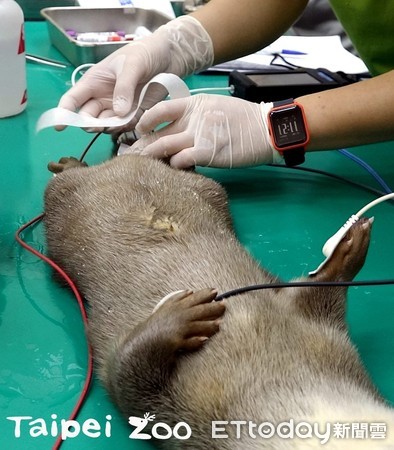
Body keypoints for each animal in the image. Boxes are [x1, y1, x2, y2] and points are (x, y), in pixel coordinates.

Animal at [43, 154, 394, 446]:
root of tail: (122, 161)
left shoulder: (332, 342)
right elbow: (123, 370)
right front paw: (179, 316)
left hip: (210, 192)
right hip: (60, 203)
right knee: (67, 180)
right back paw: (72, 163)